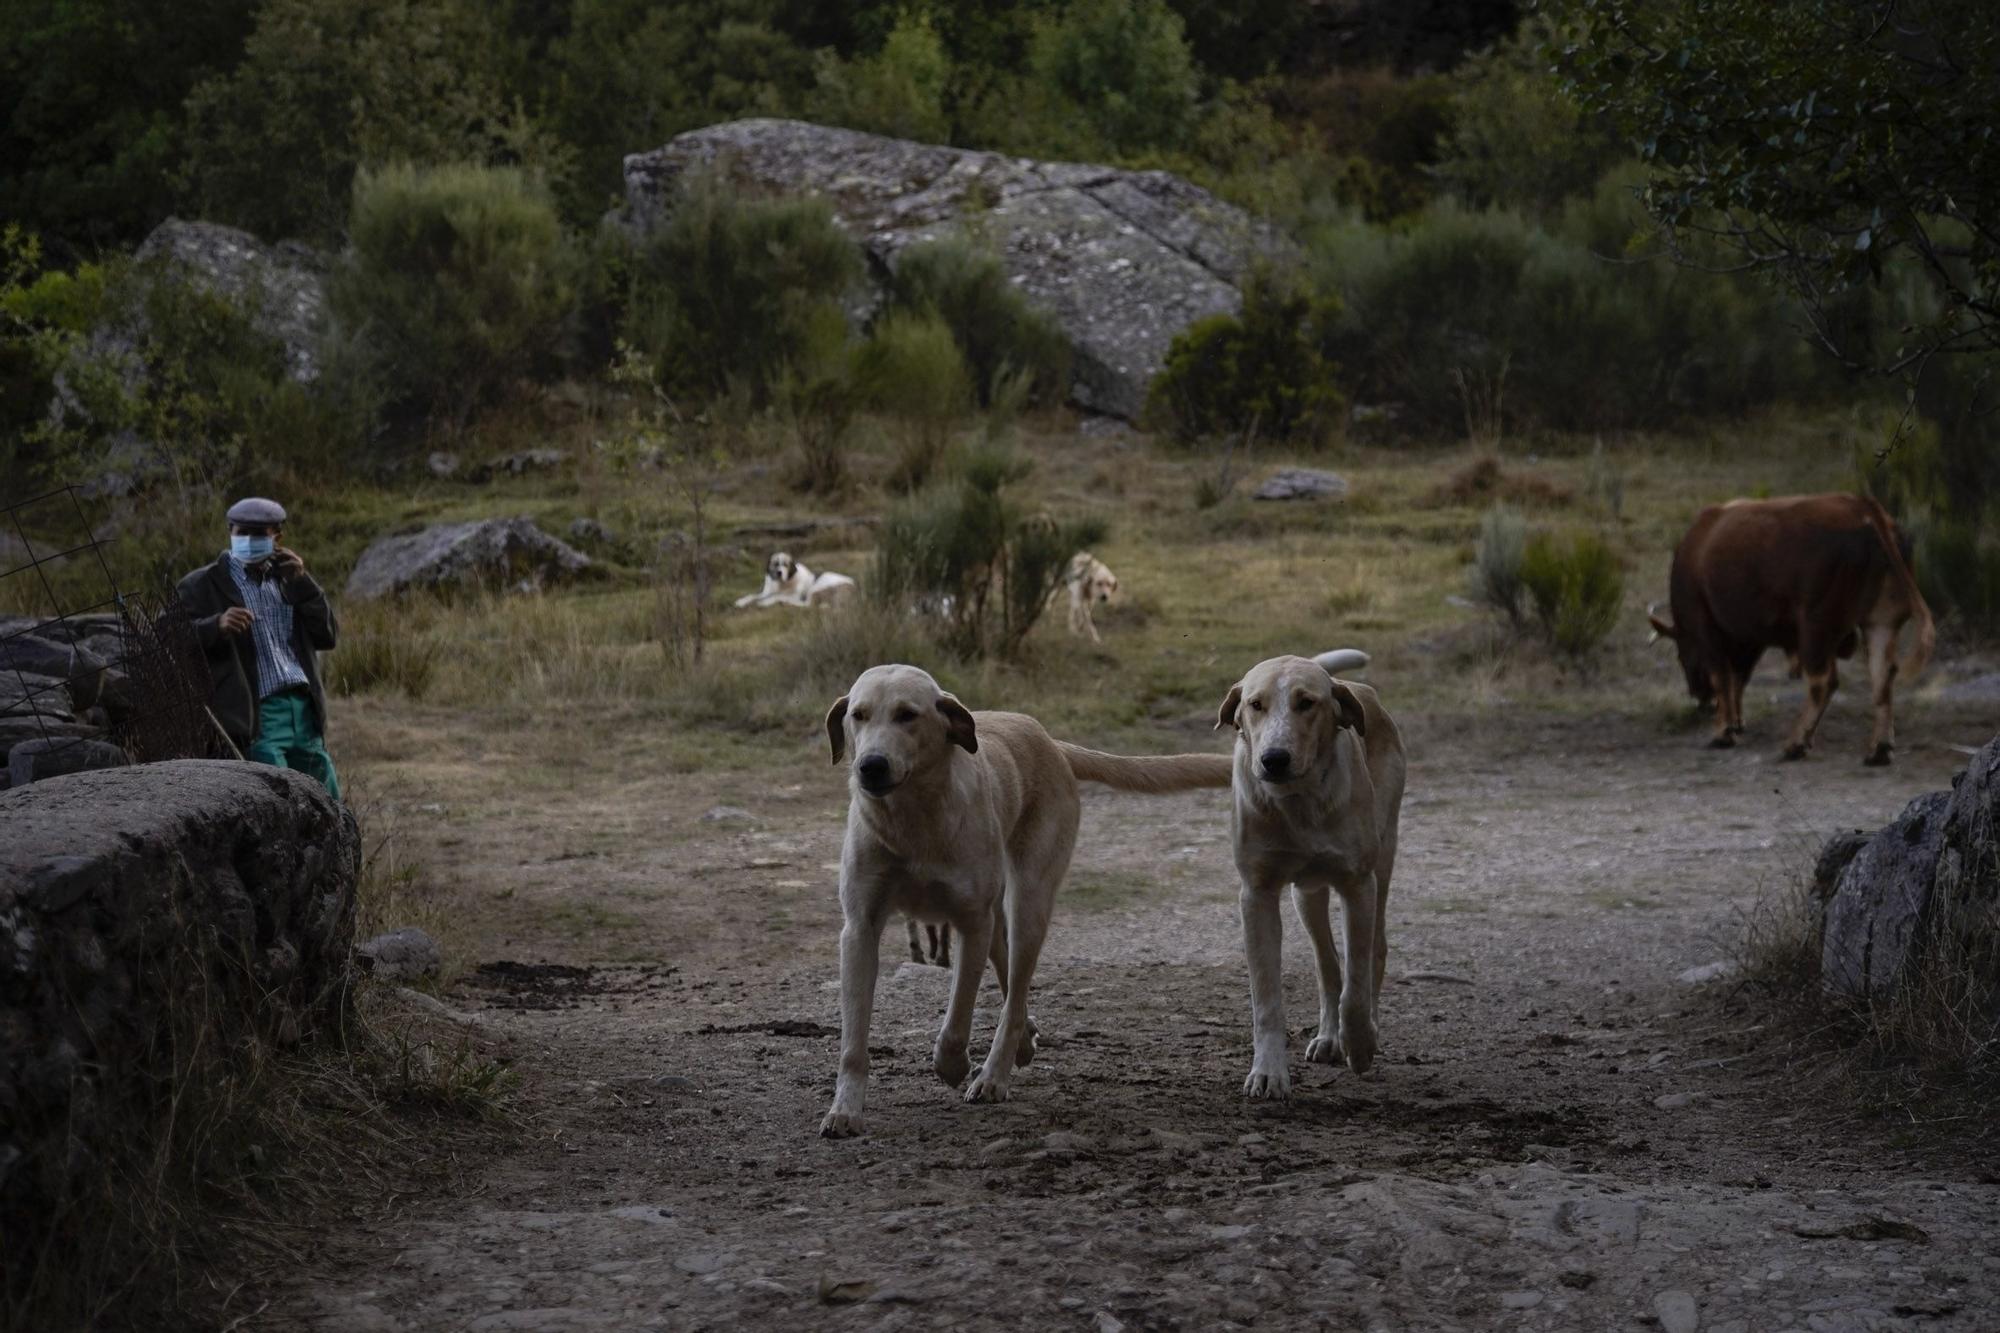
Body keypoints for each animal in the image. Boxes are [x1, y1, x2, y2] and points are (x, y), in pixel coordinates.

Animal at [816, 660, 1224, 1128]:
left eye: (907, 715)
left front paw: (952, 1064)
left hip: (1027, 902)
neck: (914, 820)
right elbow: (853, 1039)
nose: (871, 766)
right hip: (998, 917)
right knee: (1011, 980)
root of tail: (1049, 741)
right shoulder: (860, 929)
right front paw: (845, 1109)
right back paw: (1023, 1044)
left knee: (1014, 994)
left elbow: (959, 1015)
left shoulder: (971, 923)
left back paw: (994, 1075)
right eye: (858, 715)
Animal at [1208, 648, 1400, 1096]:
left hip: (1383, 860)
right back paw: (1329, 1037)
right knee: (1325, 963)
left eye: (1307, 703)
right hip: (1305, 895)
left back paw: (1363, 1030)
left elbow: (1357, 981)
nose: (1273, 759)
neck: (1298, 804)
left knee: (1373, 952)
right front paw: (1268, 1072)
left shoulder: (1358, 885)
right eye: (1255, 704)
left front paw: (1360, 1043)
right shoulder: (1257, 895)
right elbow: (1267, 998)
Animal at [1648, 488, 1928, 764]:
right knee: (1883, 676)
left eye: (1681, 656)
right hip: (1880, 622)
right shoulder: (1751, 638)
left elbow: (1722, 676)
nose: (1699, 696)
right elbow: (1739, 678)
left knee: (1823, 682)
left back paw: (1796, 743)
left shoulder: (1706, 628)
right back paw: (1879, 749)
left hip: (1816, 628)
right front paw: (1736, 722)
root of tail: (1862, 507)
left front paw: (1724, 732)